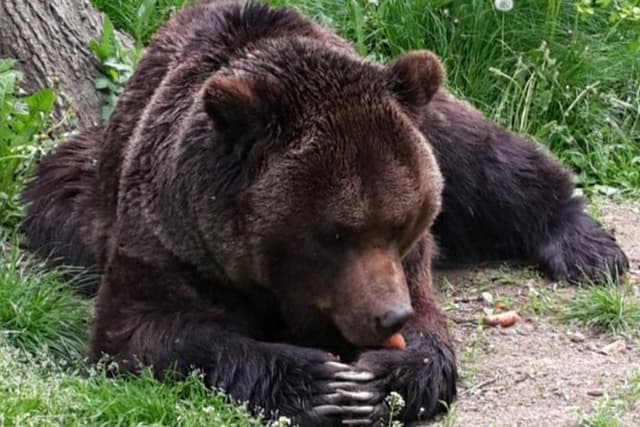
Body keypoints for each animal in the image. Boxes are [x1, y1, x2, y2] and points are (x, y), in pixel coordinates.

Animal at [21, 1, 628, 426]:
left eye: (401, 223)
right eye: (335, 234)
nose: (390, 317)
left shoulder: (411, 260)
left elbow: (432, 338)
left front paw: (384, 379)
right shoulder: (170, 238)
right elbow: (145, 329)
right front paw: (320, 383)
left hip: (429, 119)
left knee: (486, 158)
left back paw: (590, 249)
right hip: (77, 202)